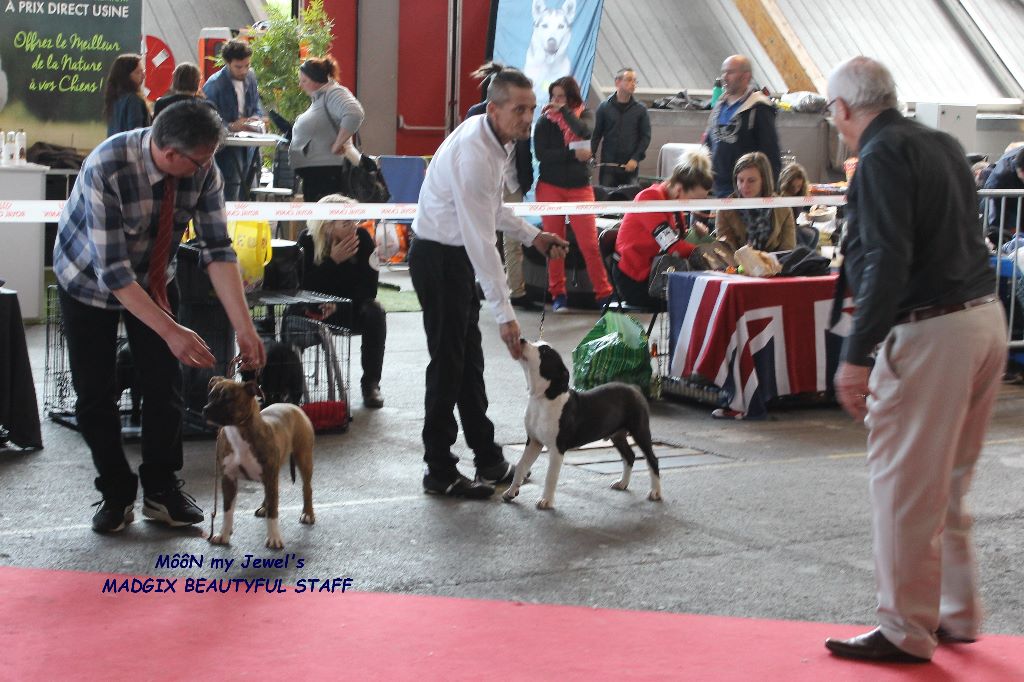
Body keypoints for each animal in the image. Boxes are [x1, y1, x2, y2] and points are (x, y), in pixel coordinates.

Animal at [503, 337, 663, 507]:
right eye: (535, 341)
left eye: (544, 351)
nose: (521, 339)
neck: (542, 397)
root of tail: (634, 388)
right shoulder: (534, 442)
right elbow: (521, 466)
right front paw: (511, 492)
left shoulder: (557, 447)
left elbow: (550, 476)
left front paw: (546, 500)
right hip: (617, 435)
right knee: (629, 456)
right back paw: (622, 483)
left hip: (640, 430)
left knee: (652, 459)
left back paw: (655, 492)